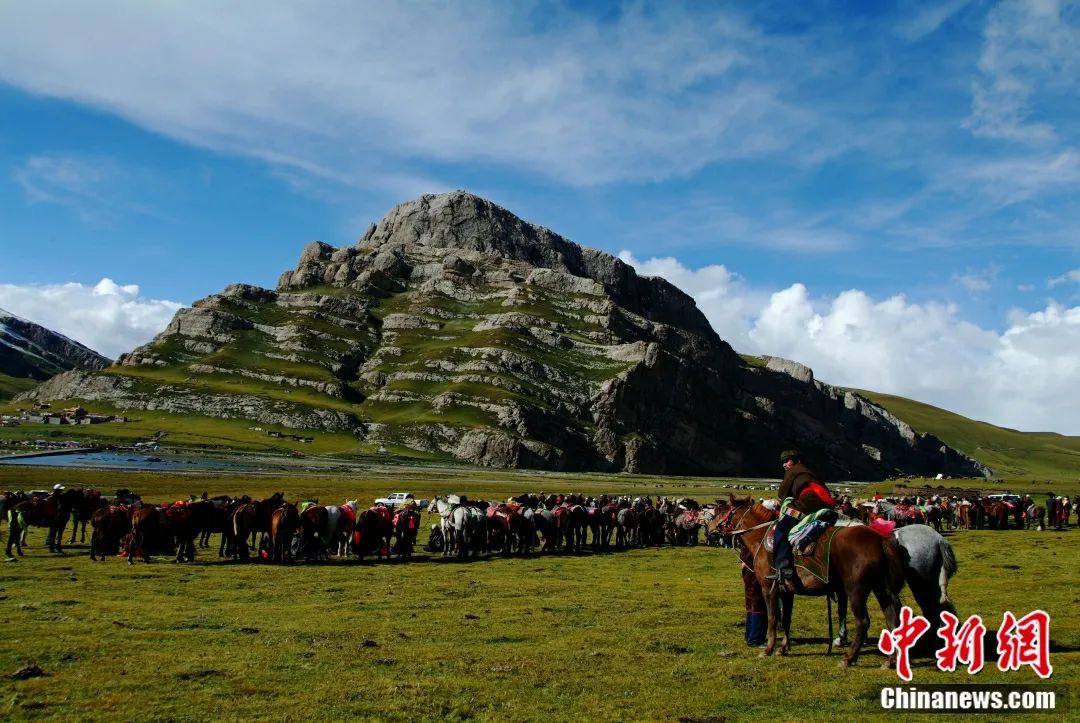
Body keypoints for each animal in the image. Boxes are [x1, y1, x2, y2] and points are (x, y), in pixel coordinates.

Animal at [725, 499, 902, 670]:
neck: (760, 539)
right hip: (881, 588)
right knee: (891, 617)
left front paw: (768, 649)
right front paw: (783, 649)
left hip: (856, 591)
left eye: (723, 511)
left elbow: (772, 618)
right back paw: (890, 661)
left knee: (863, 622)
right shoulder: (787, 591)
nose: (717, 530)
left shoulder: (769, 589)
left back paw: (848, 658)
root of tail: (880, 540)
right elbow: (786, 618)